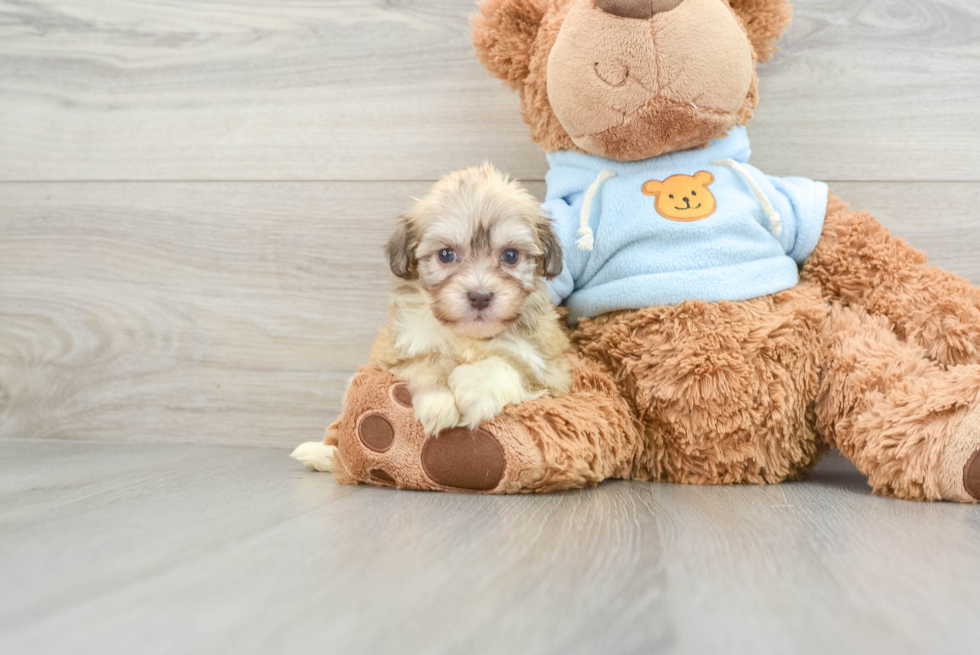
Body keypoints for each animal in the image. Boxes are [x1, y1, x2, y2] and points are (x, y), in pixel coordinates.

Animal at [370, 164, 572, 436]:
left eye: (510, 255)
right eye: (446, 255)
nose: (480, 296)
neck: (470, 338)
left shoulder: (554, 375)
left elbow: (513, 366)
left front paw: (473, 387)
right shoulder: (392, 354)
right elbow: (425, 360)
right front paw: (438, 401)